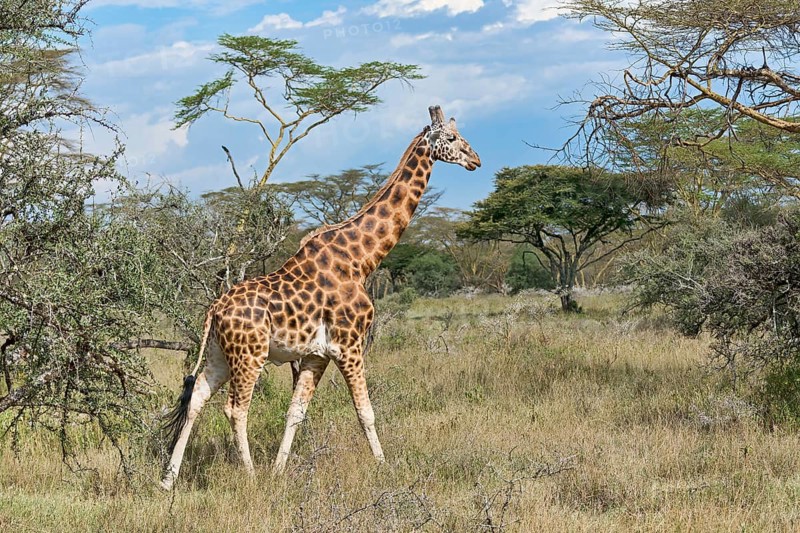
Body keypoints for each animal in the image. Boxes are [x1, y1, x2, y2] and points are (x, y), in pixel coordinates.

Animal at [160, 105, 481, 490]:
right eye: (451, 138)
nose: (476, 159)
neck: (362, 259)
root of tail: (214, 309)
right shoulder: (349, 344)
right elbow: (366, 411)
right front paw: (384, 467)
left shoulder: (317, 354)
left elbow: (295, 412)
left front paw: (279, 471)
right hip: (250, 354)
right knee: (236, 408)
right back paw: (250, 477)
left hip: (219, 354)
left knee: (195, 400)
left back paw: (167, 481)